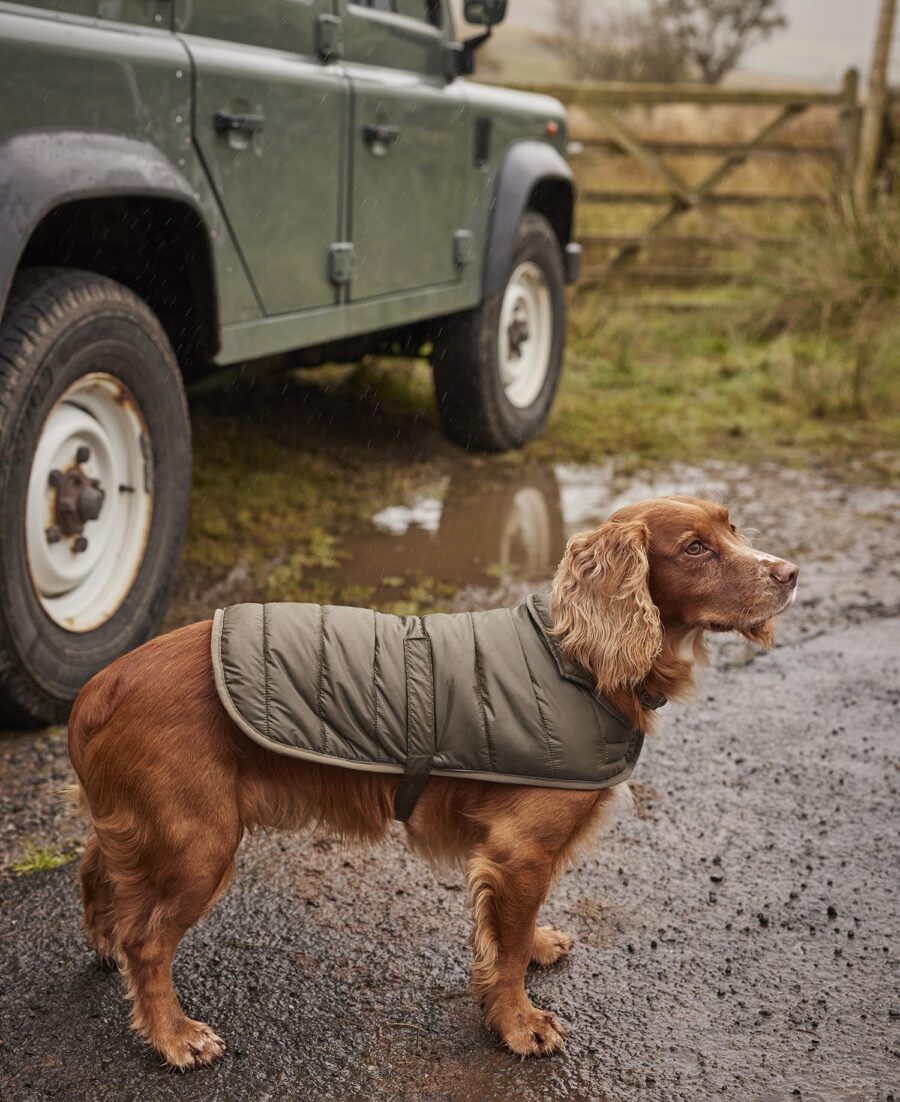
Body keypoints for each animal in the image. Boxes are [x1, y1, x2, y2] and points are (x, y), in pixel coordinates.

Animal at [68, 498, 793, 1066]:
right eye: (696, 547)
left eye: (732, 527)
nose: (790, 574)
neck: (576, 660)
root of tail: (98, 686)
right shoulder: (519, 850)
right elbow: (504, 955)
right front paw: (518, 1025)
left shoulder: (521, 857)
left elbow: (513, 932)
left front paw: (536, 948)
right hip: (201, 842)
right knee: (147, 942)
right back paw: (173, 1035)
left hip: (149, 828)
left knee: (96, 871)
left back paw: (105, 948)